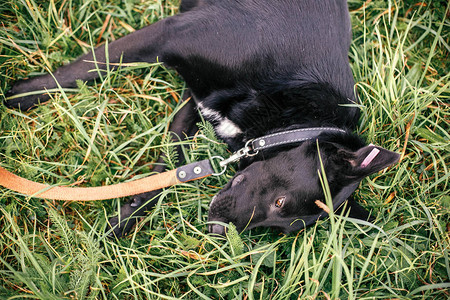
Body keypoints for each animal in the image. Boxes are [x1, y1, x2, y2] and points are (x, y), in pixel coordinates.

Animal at [3, 0, 400, 237]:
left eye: (282, 227)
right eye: (280, 203)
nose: (217, 231)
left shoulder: (195, 102)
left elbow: (169, 170)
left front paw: (123, 220)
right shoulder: (173, 35)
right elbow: (88, 66)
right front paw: (19, 95)